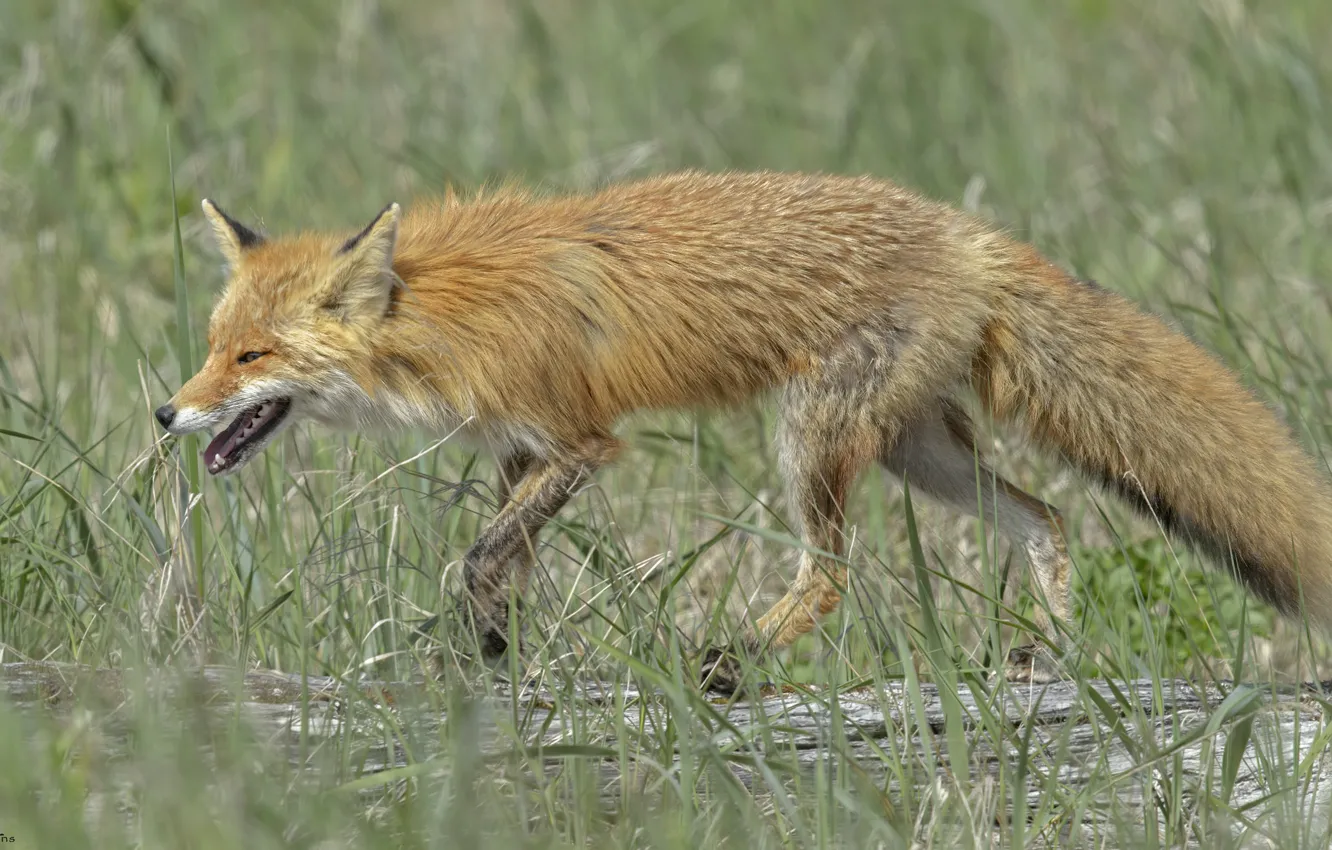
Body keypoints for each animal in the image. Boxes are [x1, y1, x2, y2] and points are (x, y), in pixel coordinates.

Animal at [151, 171, 1332, 692]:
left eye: (250, 358)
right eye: (213, 347)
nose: (166, 411)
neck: (442, 313)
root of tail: (967, 233)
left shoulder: (582, 443)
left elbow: (479, 555)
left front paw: (484, 650)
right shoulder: (523, 453)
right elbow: (500, 565)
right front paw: (491, 659)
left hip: (815, 441)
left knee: (832, 574)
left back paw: (727, 660)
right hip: (920, 451)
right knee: (1043, 519)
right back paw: (1048, 653)